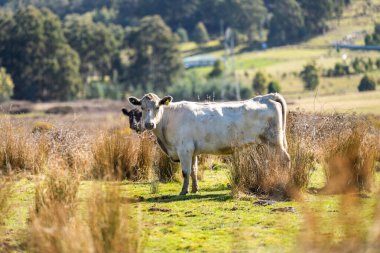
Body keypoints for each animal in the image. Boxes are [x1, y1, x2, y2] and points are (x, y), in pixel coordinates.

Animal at [128, 93, 290, 196]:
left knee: (285, 159)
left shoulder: (184, 149)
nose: (149, 124)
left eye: (157, 107)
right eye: (142, 108)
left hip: (274, 140)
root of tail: (267, 96)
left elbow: (185, 171)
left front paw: (183, 191)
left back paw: (285, 180)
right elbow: (193, 170)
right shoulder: (192, 151)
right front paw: (195, 189)